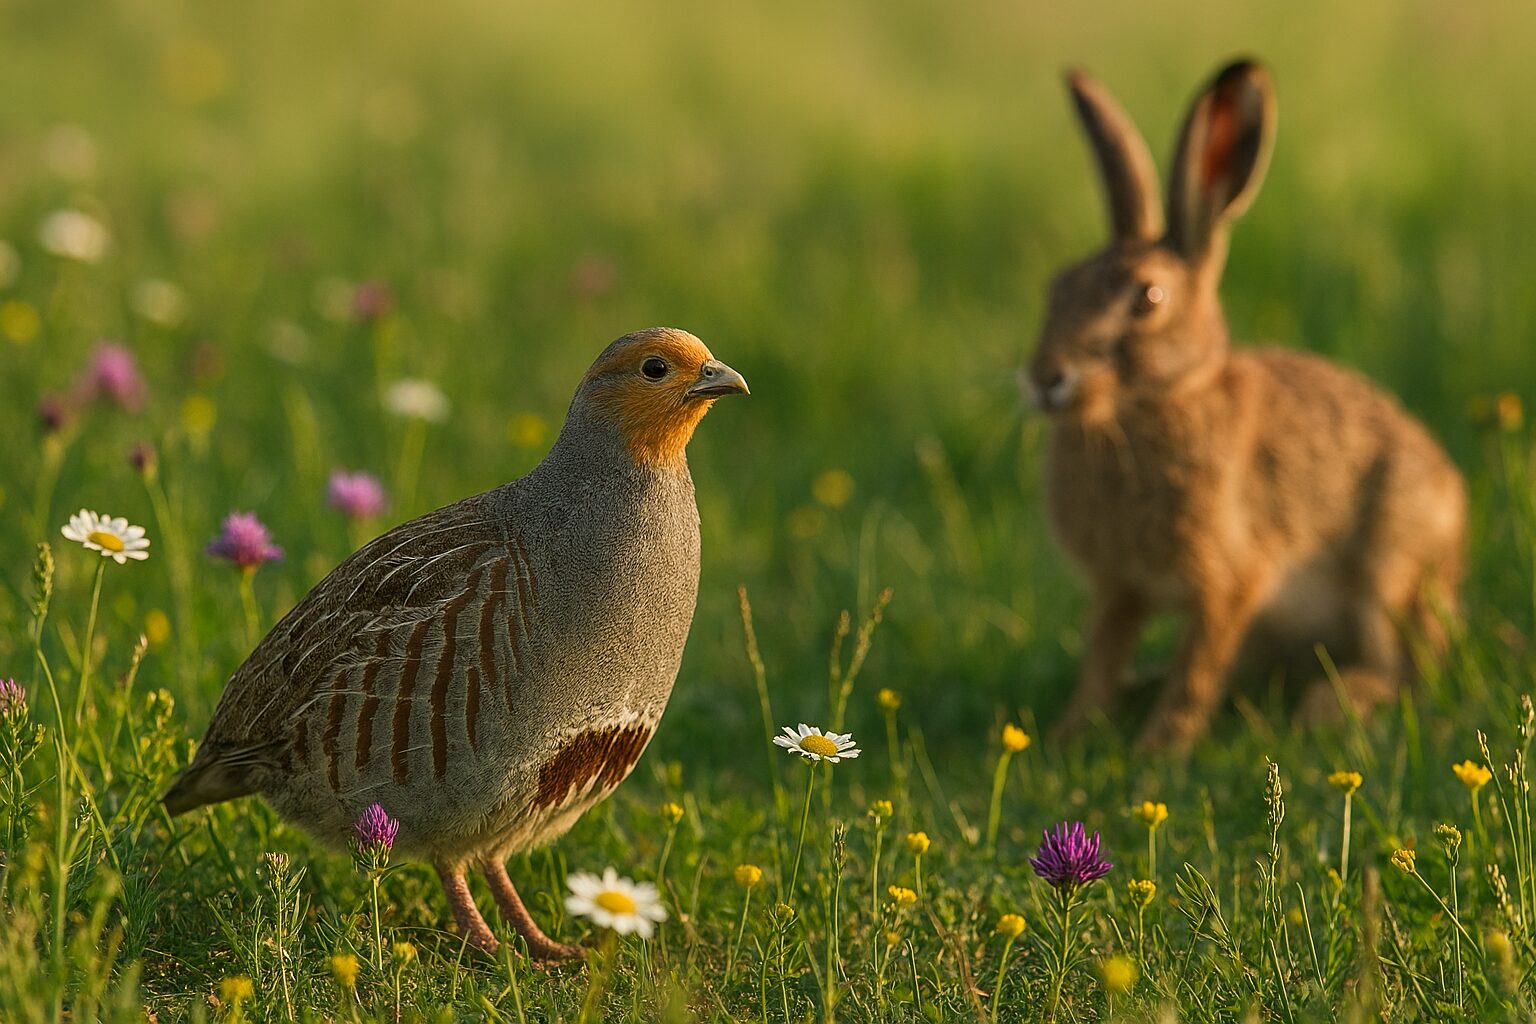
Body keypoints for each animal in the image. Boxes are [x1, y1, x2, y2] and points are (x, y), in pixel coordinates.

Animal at [1025, 59, 1466, 751]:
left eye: (1148, 298)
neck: (1147, 407)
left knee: (1401, 671)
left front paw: (1157, 752)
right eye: (1057, 287)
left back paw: (1332, 705)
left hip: (1388, 570)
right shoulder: (1119, 591)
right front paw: (1067, 737)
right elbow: (1102, 660)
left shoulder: (1230, 582)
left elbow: (1196, 671)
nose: (1045, 378)